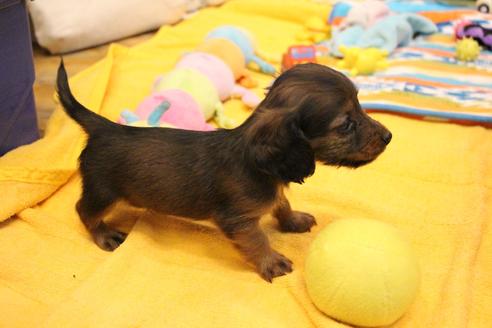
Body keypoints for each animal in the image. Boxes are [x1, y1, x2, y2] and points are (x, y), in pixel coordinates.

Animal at [55, 61, 392, 282]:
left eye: (360, 105)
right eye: (346, 124)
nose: (390, 137)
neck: (259, 163)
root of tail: (105, 128)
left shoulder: (272, 193)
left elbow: (282, 202)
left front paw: (293, 220)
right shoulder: (237, 220)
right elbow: (258, 240)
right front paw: (271, 262)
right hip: (103, 193)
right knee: (83, 210)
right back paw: (103, 234)